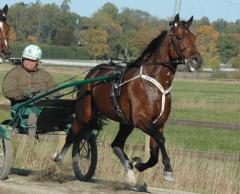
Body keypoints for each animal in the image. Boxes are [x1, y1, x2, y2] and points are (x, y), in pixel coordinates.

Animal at [53, 14, 202, 184]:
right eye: (179, 37)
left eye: (194, 37)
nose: (197, 60)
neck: (154, 82)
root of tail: (93, 72)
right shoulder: (141, 120)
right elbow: (160, 139)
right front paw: (168, 171)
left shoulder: (158, 123)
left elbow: (154, 154)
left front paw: (138, 164)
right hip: (85, 113)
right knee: (73, 133)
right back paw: (59, 157)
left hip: (125, 122)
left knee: (116, 144)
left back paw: (129, 170)